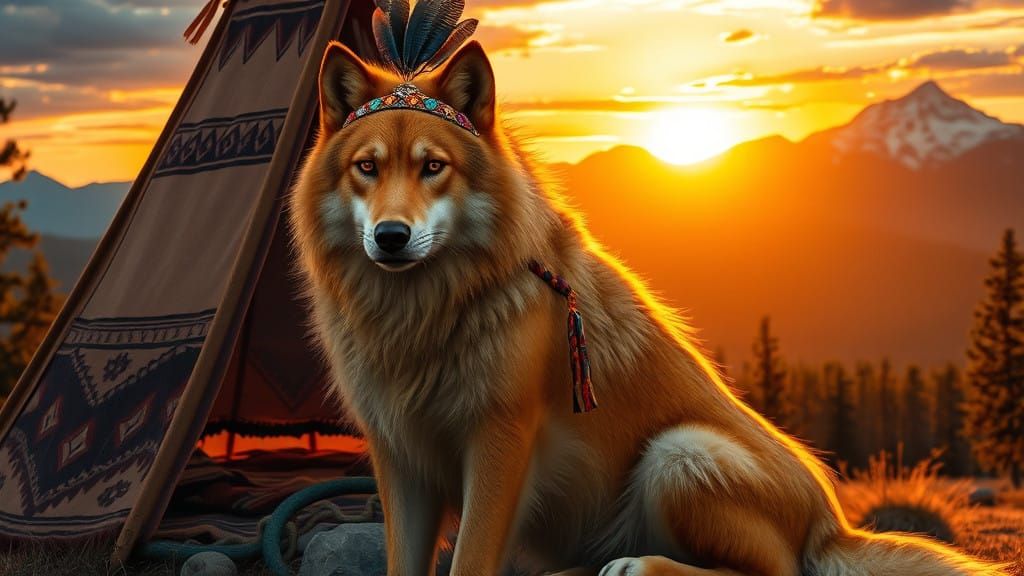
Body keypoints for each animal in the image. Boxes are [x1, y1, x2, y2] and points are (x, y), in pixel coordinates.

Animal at [288, 39, 1006, 576]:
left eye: (433, 166)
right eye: (367, 168)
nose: (391, 236)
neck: (425, 313)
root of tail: (831, 526)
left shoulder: (498, 441)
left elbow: (468, 560)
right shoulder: (399, 456)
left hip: (678, 453)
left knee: (766, 573)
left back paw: (639, 565)